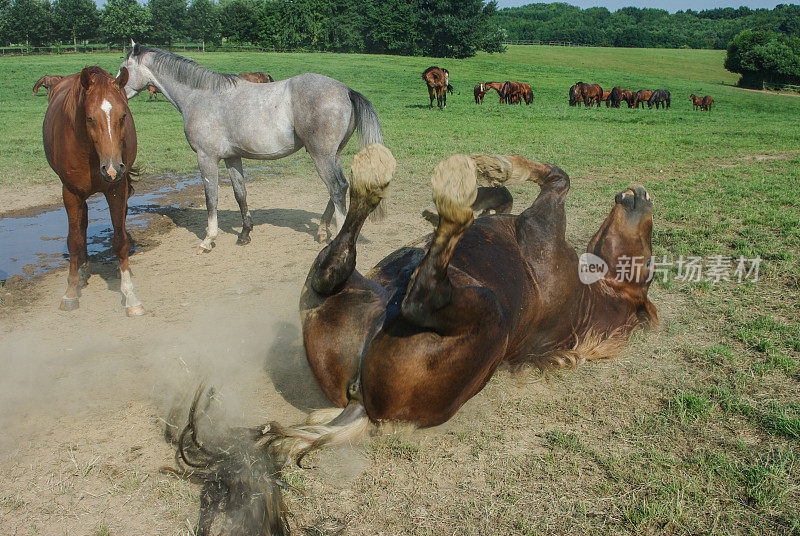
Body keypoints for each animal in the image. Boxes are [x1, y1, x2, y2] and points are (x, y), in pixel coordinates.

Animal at [41, 68, 144, 316]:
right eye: (89, 118)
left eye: (123, 116)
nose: (112, 168)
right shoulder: (70, 193)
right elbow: (74, 241)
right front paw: (70, 292)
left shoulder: (116, 189)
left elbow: (120, 239)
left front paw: (130, 295)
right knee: (83, 223)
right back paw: (82, 269)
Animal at [117, 42, 382, 249]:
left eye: (123, 69)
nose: (119, 93)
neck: (201, 96)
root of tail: (346, 90)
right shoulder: (232, 157)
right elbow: (240, 194)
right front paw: (245, 233)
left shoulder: (206, 158)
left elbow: (211, 198)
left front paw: (208, 239)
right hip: (331, 155)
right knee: (340, 187)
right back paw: (322, 231)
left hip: (322, 155)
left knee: (337, 188)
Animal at [172, 146, 660, 528]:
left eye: (648, 246)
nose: (641, 196)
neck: (583, 295)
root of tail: (362, 407)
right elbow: (512, 194)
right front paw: (488, 177)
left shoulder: (544, 217)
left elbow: (557, 178)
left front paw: (490, 171)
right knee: (339, 263)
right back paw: (387, 185)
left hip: (477, 310)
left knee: (415, 293)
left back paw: (438, 200)